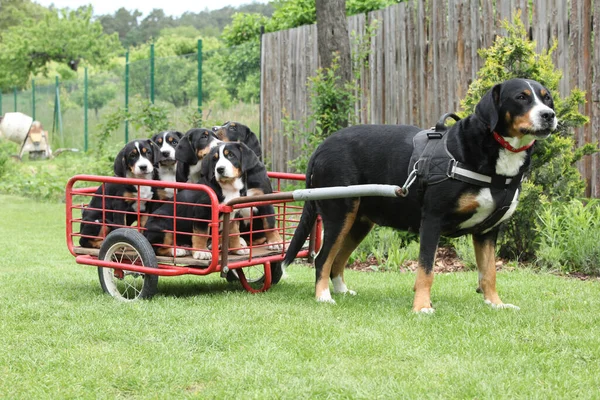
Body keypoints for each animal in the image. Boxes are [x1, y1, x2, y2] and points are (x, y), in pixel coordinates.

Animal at [282, 76, 556, 310]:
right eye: (520, 97)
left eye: (547, 98)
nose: (549, 115)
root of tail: (322, 146)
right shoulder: (433, 220)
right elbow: (426, 270)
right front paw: (422, 307)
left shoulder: (488, 231)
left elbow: (489, 273)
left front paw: (496, 304)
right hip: (340, 214)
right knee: (323, 259)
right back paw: (323, 296)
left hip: (359, 223)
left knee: (337, 261)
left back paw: (340, 290)